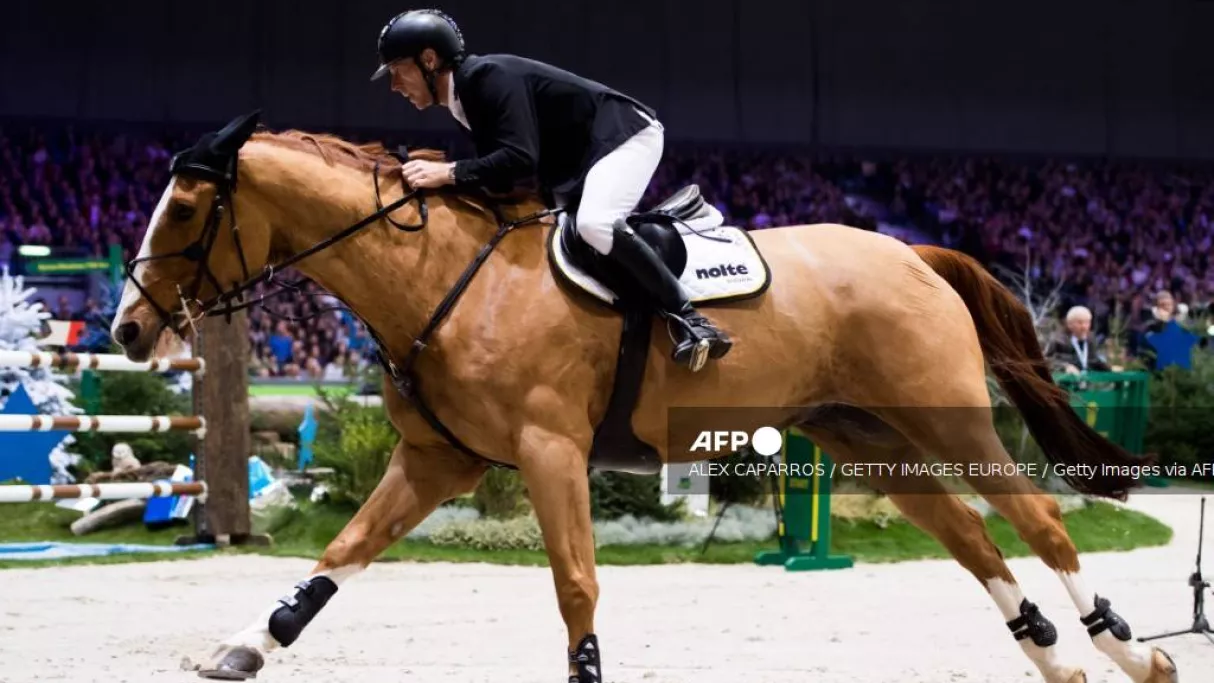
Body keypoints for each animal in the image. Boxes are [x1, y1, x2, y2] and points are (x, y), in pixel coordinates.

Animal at [111, 111, 1178, 683]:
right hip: (861, 435)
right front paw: (247, 644)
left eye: (189, 209)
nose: (125, 330)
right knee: (969, 535)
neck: (442, 279)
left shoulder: (548, 451)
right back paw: (1054, 655)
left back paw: (1129, 652)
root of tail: (913, 250)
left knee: (1036, 516)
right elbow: (341, 552)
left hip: (941, 417)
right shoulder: (439, 458)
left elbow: (576, 583)